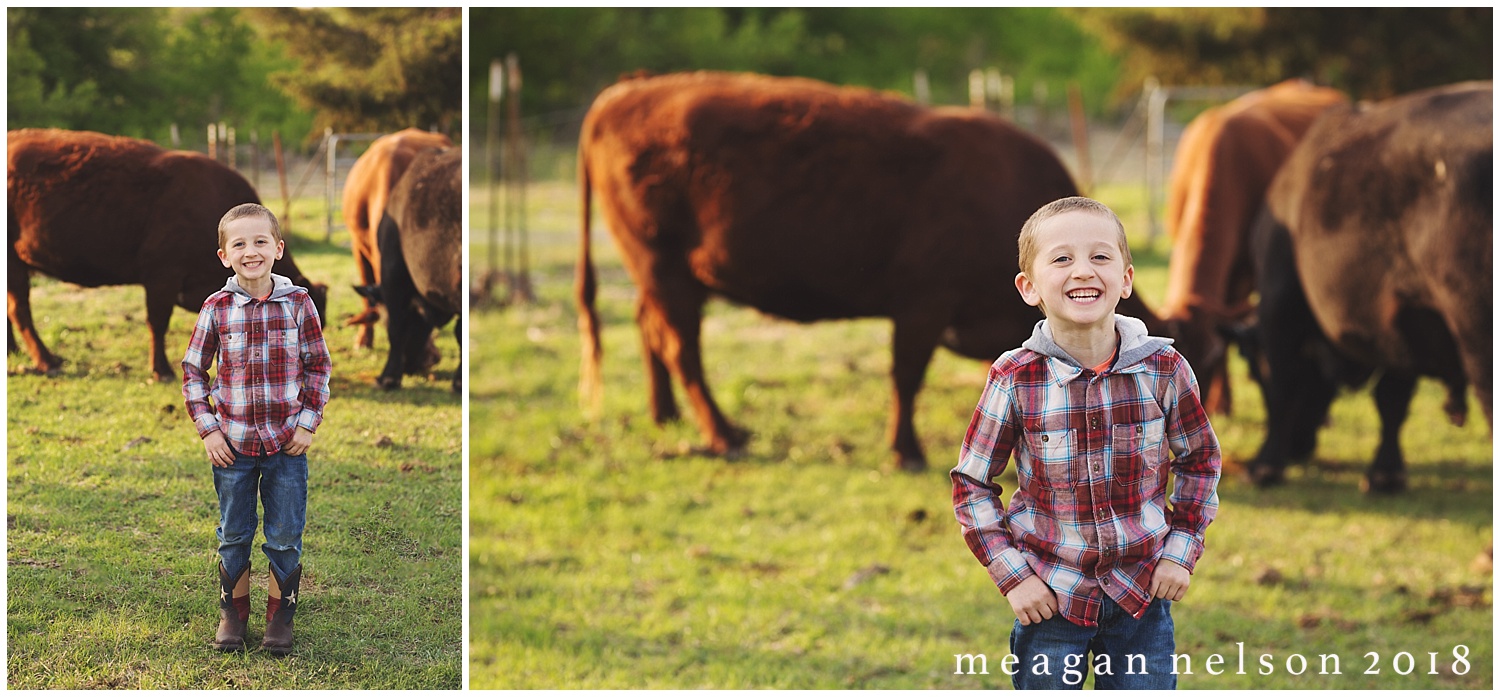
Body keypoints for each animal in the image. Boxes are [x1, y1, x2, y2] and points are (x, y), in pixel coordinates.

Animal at [8, 127, 325, 383]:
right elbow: (157, 323)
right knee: (20, 310)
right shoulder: (162, 276)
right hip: (14, 262)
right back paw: (46, 360)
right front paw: (161, 370)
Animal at [579, 71, 1164, 467]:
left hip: (663, 276)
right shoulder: (923, 304)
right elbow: (906, 376)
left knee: (649, 328)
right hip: (665, 269)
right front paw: (906, 450)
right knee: (681, 348)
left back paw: (666, 414)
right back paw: (723, 434)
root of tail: (627, 90)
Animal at [1242, 81, 1488, 491]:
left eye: (1253, 372)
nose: (1299, 447)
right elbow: (1392, 400)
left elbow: (1282, 384)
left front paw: (1266, 464)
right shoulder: (1401, 321)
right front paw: (1386, 473)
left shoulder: (1279, 302)